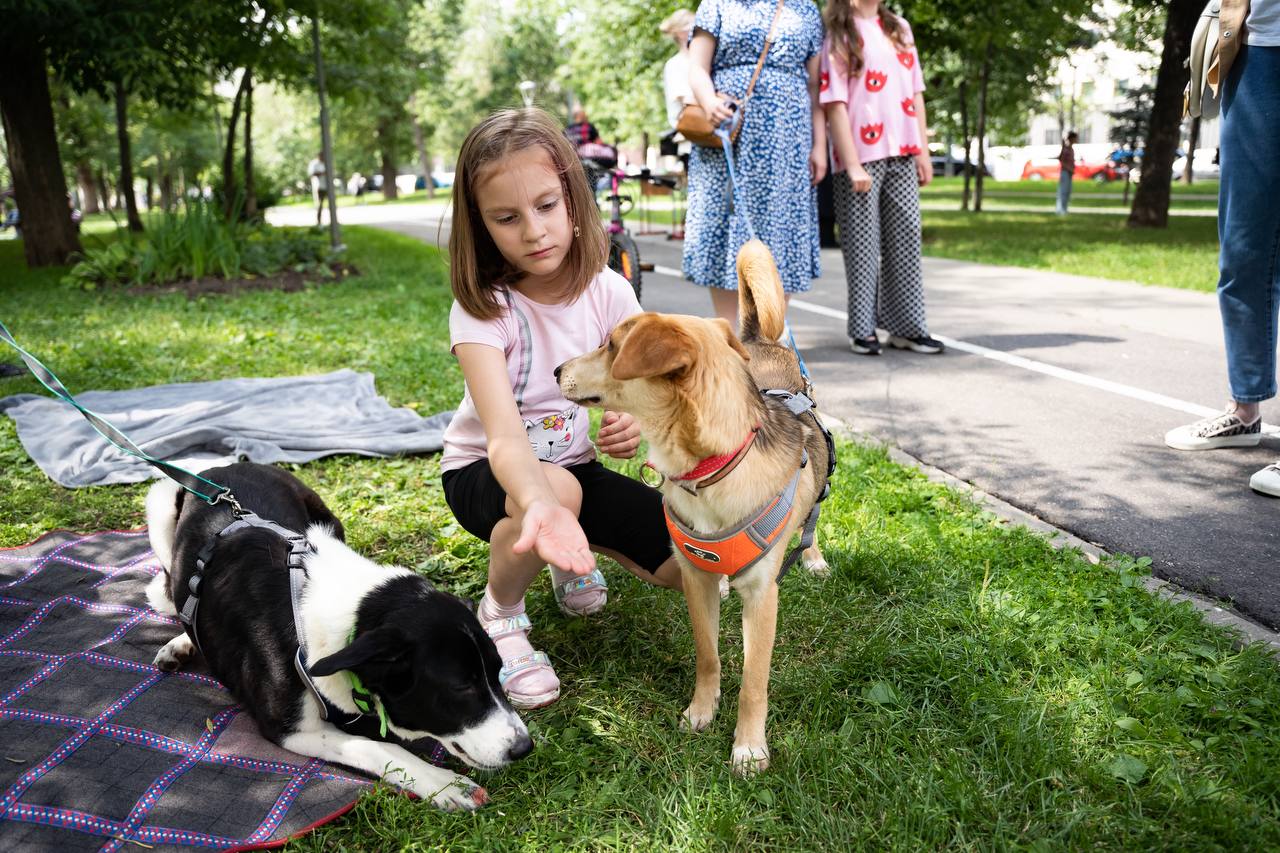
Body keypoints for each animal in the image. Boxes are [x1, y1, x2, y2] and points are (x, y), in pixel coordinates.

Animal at [145, 461, 529, 809]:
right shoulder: (289, 729)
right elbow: (377, 745)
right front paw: (444, 783)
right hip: (159, 503)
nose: (525, 747)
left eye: (498, 672)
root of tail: (224, 467)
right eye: (461, 687)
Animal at [555, 239, 834, 768]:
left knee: (813, 511)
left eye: (610, 345)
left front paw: (749, 745)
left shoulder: (763, 598)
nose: (558, 369)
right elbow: (707, 654)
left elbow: (754, 681)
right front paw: (701, 710)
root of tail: (759, 341)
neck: (710, 471)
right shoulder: (693, 577)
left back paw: (811, 555)